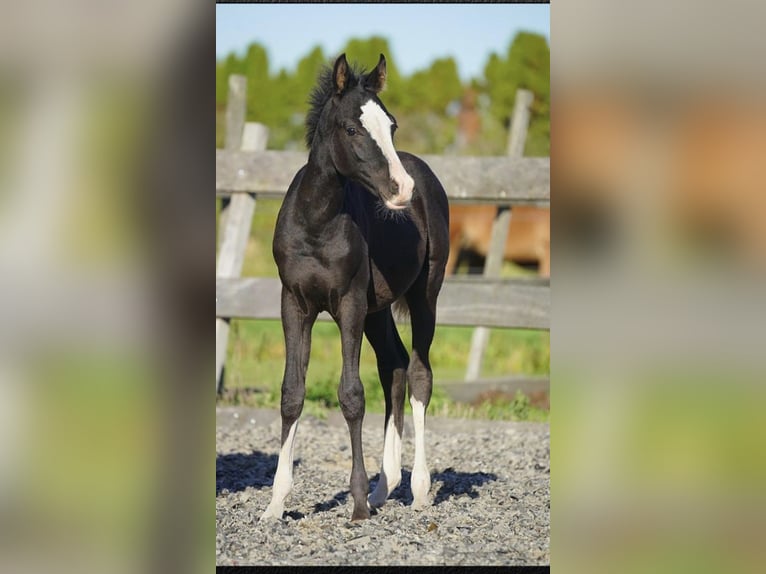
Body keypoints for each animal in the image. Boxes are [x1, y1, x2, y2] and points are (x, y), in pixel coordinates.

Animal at [260, 54, 450, 522]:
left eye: (392, 126)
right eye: (351, 129)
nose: (402, 189)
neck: (316, 223)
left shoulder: (348, 305)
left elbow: (351, 394)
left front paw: (358, 502)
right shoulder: (294, 304)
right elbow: (292, 393)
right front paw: (275, 503)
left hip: (424, 296)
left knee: (419, 374)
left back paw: (418, 490)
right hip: (378, 310)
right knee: (394, 367)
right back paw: (387, 486)